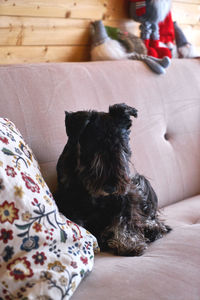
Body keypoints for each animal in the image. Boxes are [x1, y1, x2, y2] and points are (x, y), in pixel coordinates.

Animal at [54, 103, 171, 255]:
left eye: (122, 145)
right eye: (94, 147)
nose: (111, 187)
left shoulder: (124, 197)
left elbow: (123, 221)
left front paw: (128, 243)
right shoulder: (70, 204)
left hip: (140, 183)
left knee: (148, 217)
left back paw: (152, 228)